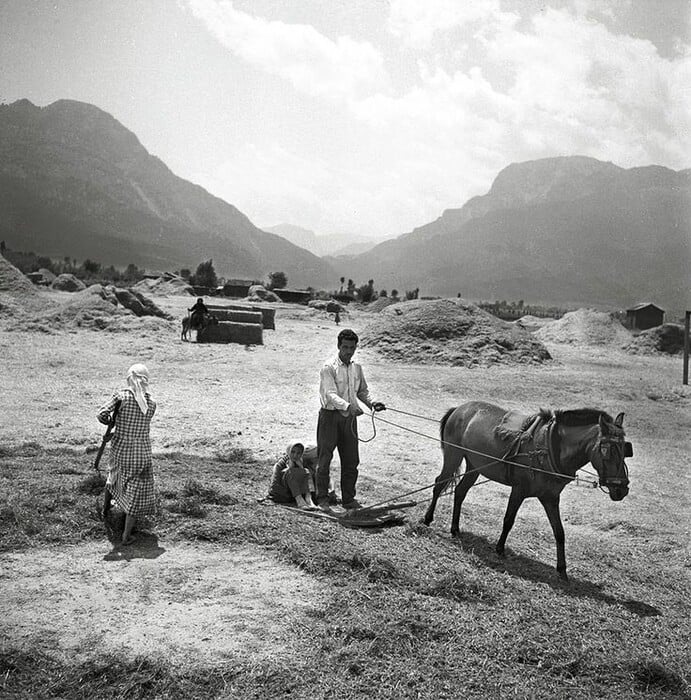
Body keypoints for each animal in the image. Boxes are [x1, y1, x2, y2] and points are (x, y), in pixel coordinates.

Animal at [422, 400, 632, 580]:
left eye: (625, 449)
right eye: (607, 450)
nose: (622, 489)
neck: (550, 447)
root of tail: (459, 408)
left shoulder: (550, 498)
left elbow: (559, 532)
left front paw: (562, 569)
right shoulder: (519, 490)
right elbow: (509, 520)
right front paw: (500, 548)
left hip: (474, 466)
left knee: (460, 492)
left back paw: (455, 528)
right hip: (453, 455)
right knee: (439, 484)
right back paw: (427, 518)